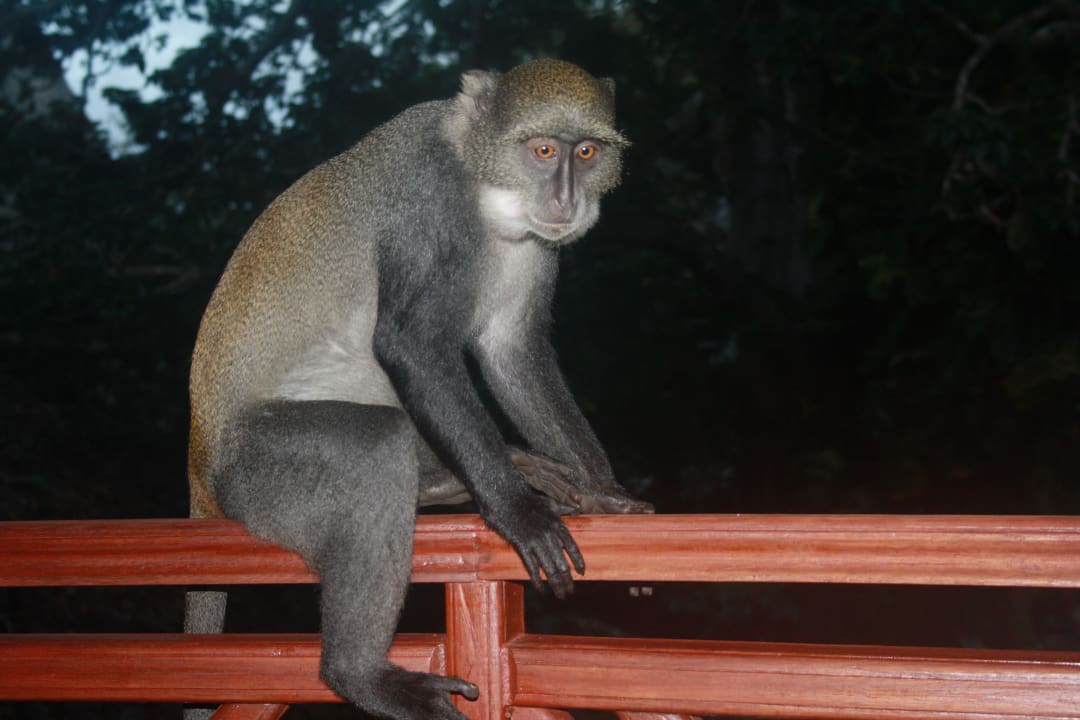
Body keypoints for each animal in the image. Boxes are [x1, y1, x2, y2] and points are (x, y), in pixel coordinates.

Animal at [184, 59, 652, 720]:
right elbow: (413, 345)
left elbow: (511, 351)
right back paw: (360, 675)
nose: (565, 197)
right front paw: (517, 512)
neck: (481, 183)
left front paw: (606, 493)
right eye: (542, 150)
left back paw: (455, 481)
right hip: (254, 473)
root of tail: (202, 465)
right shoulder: (426, 202)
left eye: (585, 151)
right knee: (377, 448)